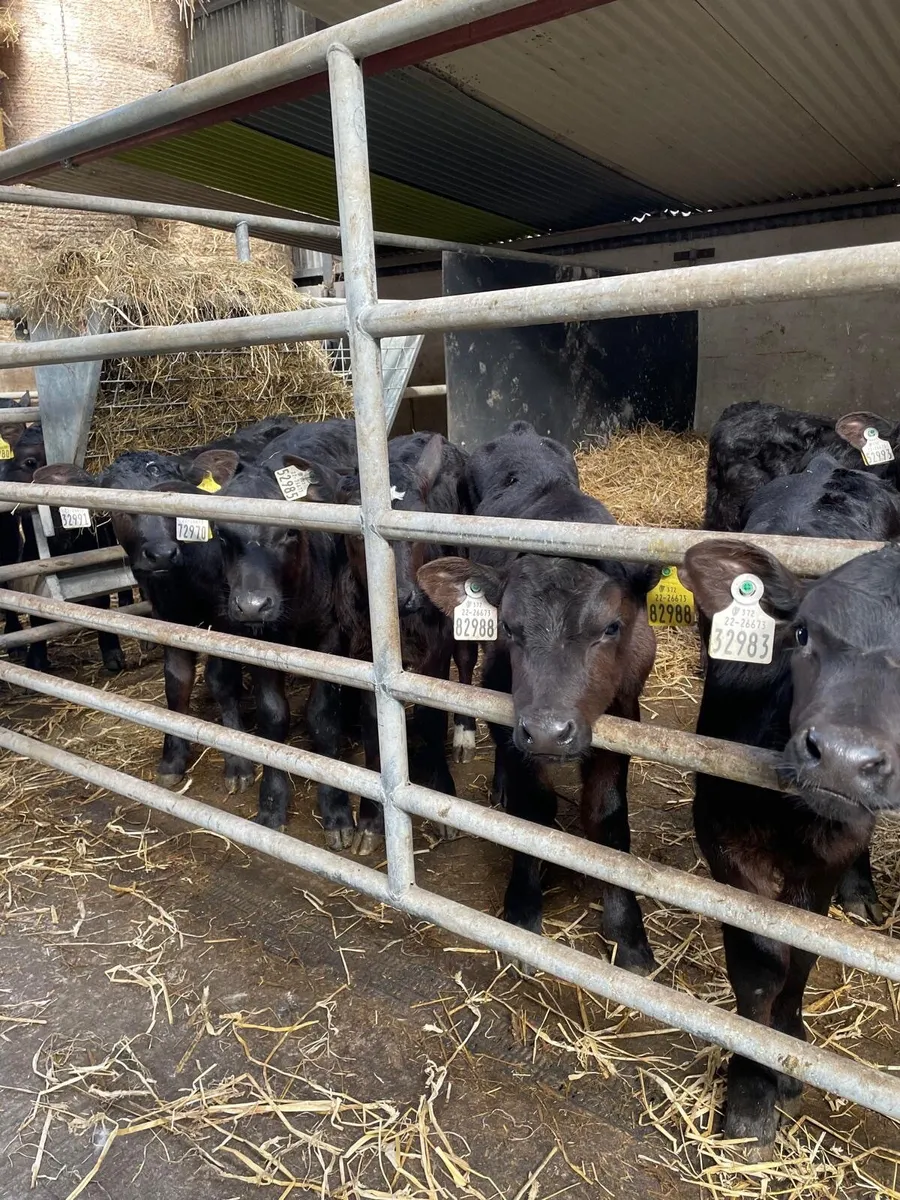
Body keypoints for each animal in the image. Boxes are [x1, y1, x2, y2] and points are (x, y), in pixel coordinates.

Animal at [418, 421, 659, 974]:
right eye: (509, 626)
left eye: (611, 627)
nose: (549, 732)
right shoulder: (510, 711)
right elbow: (536, 806)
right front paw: (525, 906)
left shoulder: (624, 716)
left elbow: (607, 815)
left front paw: (627, 932)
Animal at [681, 534, 900, 1157]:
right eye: (801, 633)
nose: (845, 759)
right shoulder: (723, 839)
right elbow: (759, 963)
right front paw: (752, 1094)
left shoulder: (827, 857)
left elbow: (802, 951)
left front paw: (789, 1046)